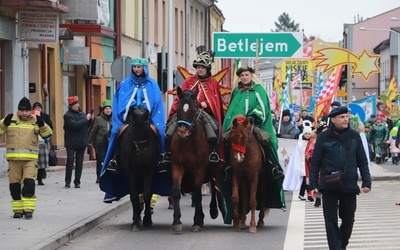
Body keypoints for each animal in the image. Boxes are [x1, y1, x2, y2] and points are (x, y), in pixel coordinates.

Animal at [169, 86, 219, 232]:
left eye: (194, 108)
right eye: (178, 107)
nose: (182, 131)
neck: (187, 142)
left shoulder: (199, 169)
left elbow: (197, 195)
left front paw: (197, 221)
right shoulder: (177, 166)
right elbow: (176, 192)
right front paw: (176, 221)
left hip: (211, 168)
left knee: (212, 186)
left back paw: (213, 210)